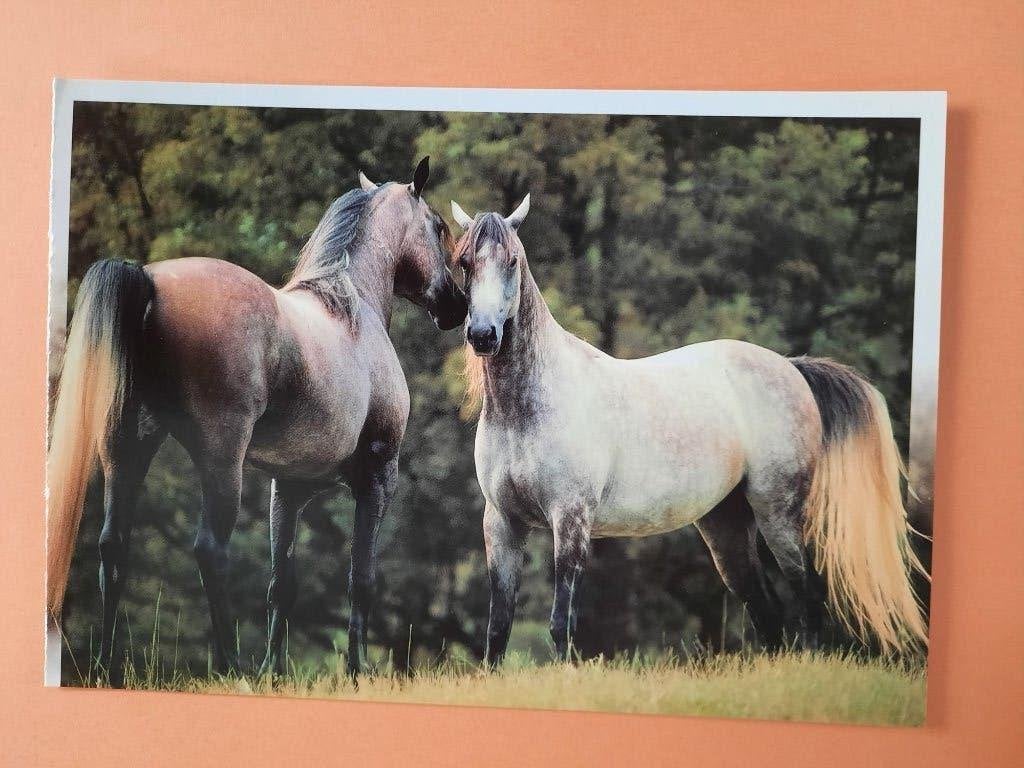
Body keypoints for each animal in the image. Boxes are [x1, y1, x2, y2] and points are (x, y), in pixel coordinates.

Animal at [47, 157, 467, 678]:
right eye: (439, 227)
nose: (457, 305)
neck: (351, 308)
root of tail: (148, 279)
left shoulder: (288, 488)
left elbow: (281, 585)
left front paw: (275, 670)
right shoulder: (377, 476)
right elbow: (361, 579)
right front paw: (355, 671)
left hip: (126, 450)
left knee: (113, 544)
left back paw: (106, 665)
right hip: (222, 461)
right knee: (210, 549)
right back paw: (231, 666)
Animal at [449, 195, 929, 665]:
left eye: (513, 260)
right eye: (465, 262)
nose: (483, 335)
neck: (530, 407)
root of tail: (792, 367)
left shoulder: (570, 520)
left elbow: (560, 624)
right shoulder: (502, 523)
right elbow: (498, 628)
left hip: (780, 515)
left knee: (808, 597)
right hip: (726, 525)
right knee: (768, 612)